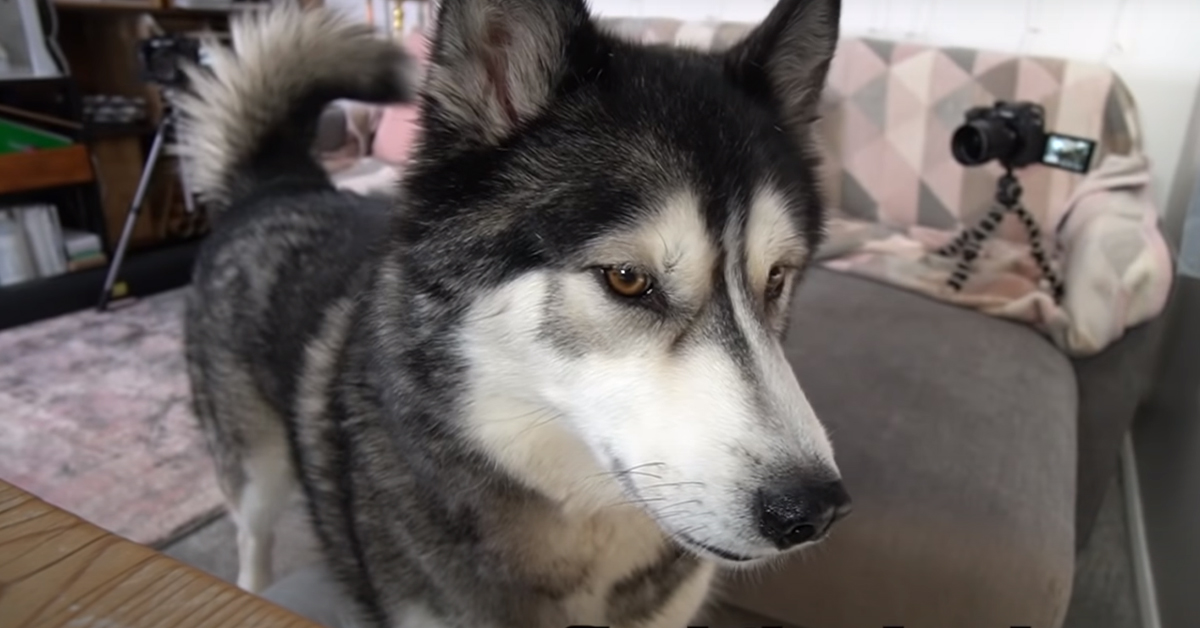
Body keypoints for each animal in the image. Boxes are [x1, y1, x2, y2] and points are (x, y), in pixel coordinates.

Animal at [180, 0, 854, 624]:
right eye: (628, 279)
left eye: (777, 277)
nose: (814, 509)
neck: (581, 520)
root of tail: (280, 184)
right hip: (255, 469)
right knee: (251, 538)